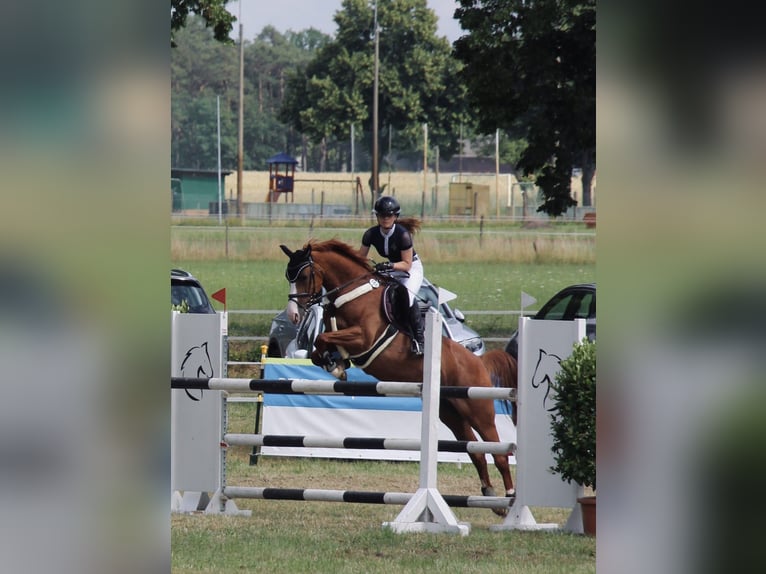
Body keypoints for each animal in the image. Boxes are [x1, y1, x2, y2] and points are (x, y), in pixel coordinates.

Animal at [280, 238, 516, 512]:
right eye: (288, 276)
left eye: (304, 275)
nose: (294, 315)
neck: (352, 294)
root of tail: (477, 361)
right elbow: (319, 347)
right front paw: (336, 365)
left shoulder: (363, 337)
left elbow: (322, 338)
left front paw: (336, 364)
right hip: (450, 411)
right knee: (475, 451)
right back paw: (490, 496)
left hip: (478, 409)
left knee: (498, 452)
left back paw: (509, 497)